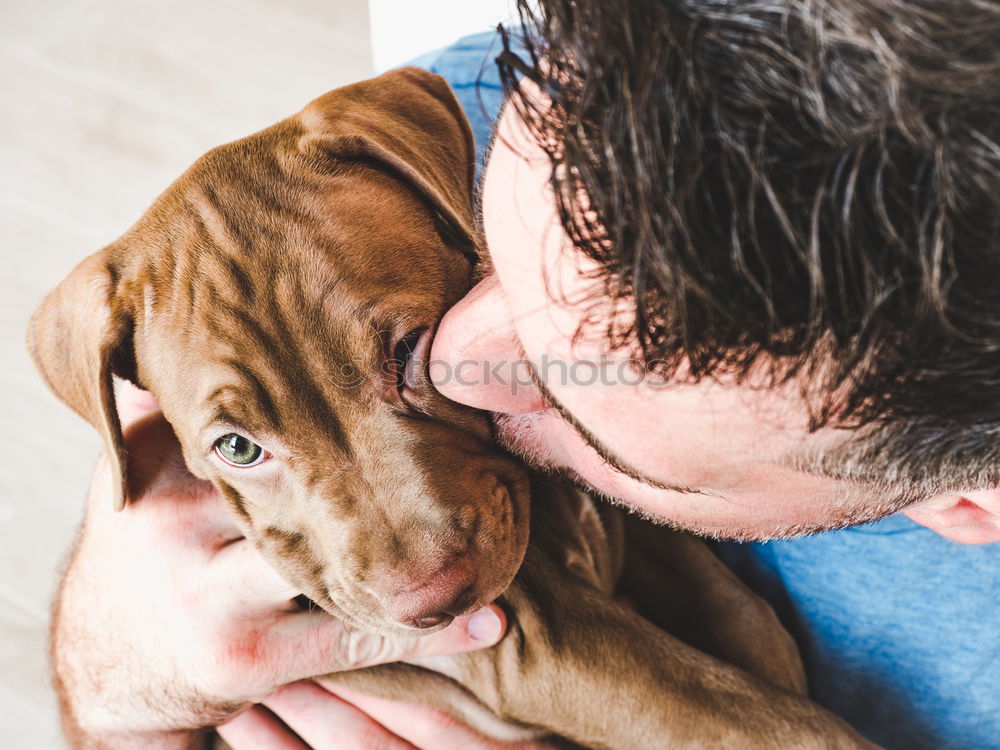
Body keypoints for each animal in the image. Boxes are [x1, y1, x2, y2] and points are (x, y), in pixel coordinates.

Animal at [27, 67, 880, 748]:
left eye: (410, 349)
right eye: (237, 448)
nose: (430, 604)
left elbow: (738, 613)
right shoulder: (532, 639)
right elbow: (768, 721)